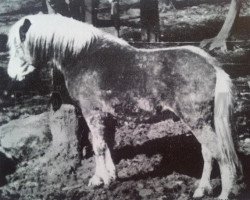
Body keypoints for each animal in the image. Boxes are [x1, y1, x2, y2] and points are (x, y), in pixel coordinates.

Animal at [7, 13, 242, 198]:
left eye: (19, 45)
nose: (11, 75)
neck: (82, 55)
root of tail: (213, 67)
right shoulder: (107, 115)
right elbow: (109, 144)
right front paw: (111, 176)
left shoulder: (92, 113)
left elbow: (98, 147)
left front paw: (99, 179)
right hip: (203, 122)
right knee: (208, 153)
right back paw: (202, 189)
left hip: (197, 121)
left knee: (222, 156)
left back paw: (223, 194)